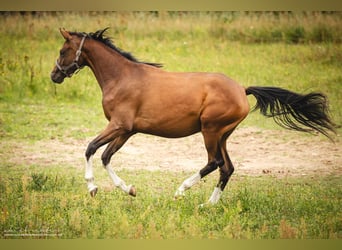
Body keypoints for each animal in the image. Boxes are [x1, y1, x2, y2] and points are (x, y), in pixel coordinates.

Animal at [50, 27, 336, 205]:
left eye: (63, 51)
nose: (54, 75)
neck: (122, 78)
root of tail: (242, 89)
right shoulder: (128, 130)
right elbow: (106, 156)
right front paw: (129, 189)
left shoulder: (119, 125)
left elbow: (90, 148)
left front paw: (92, 188)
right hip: (223, 135)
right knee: (227, 167)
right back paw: (208, 205)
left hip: (210, 130)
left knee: (214, 163)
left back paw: (181, 191)